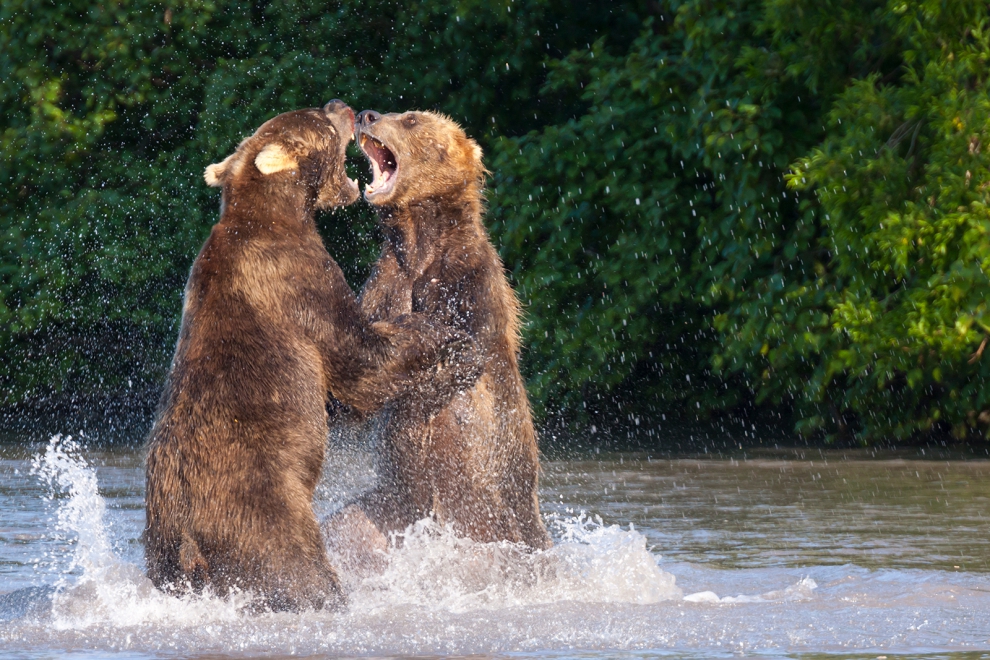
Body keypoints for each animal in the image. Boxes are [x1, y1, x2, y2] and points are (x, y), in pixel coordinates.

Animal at [145, 100, 482, 612]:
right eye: (320, 121)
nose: (341, 106)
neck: (277, 213)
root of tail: (187, 537)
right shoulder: (297, 280)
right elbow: (361, 360)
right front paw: (444, 329)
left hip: (161, 551)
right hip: (264, 516)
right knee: (297, 572)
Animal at [328, 108, 556, 564]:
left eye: (412, 119)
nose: (367, 115)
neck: (420, 240)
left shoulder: (469, 285)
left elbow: (466, 357)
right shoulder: (386, 284)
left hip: (496, 516)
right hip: (387, 512)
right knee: (346, 528)